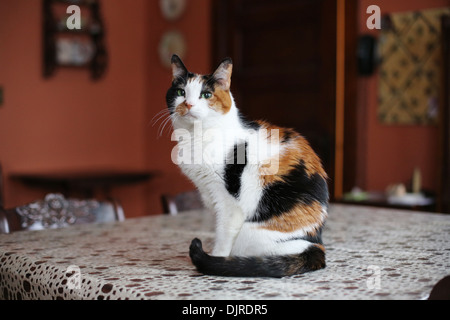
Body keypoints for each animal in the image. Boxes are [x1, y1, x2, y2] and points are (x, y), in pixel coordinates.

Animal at [165, 54, 326, 278]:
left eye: (206, 94)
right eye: (181, 92)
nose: (188, 104)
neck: (196, 136)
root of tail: (316, 245)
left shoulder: (228, 204)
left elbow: (223, 235)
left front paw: (217, 257)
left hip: (249, 233)